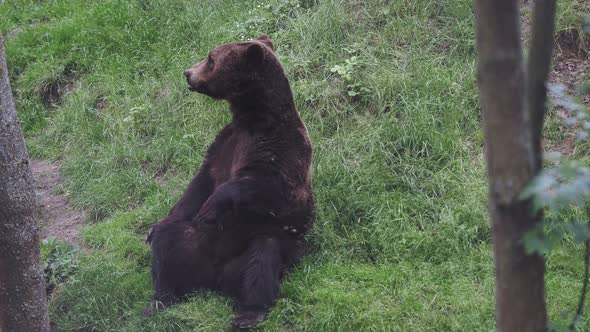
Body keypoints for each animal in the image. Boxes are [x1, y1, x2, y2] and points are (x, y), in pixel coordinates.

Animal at [146, 35, 316, 328]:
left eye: (210, 58)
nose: (187, 72)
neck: (254, 118)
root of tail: (213, 279)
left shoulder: (284, 148)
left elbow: (272, 187)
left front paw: (212, 206)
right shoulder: (225, 143)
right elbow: (200, 183)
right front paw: (156, 227)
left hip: (261, 242)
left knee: (262, 258)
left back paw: (248, 313)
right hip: (195, 242)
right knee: (168, 243)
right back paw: (162, 298)